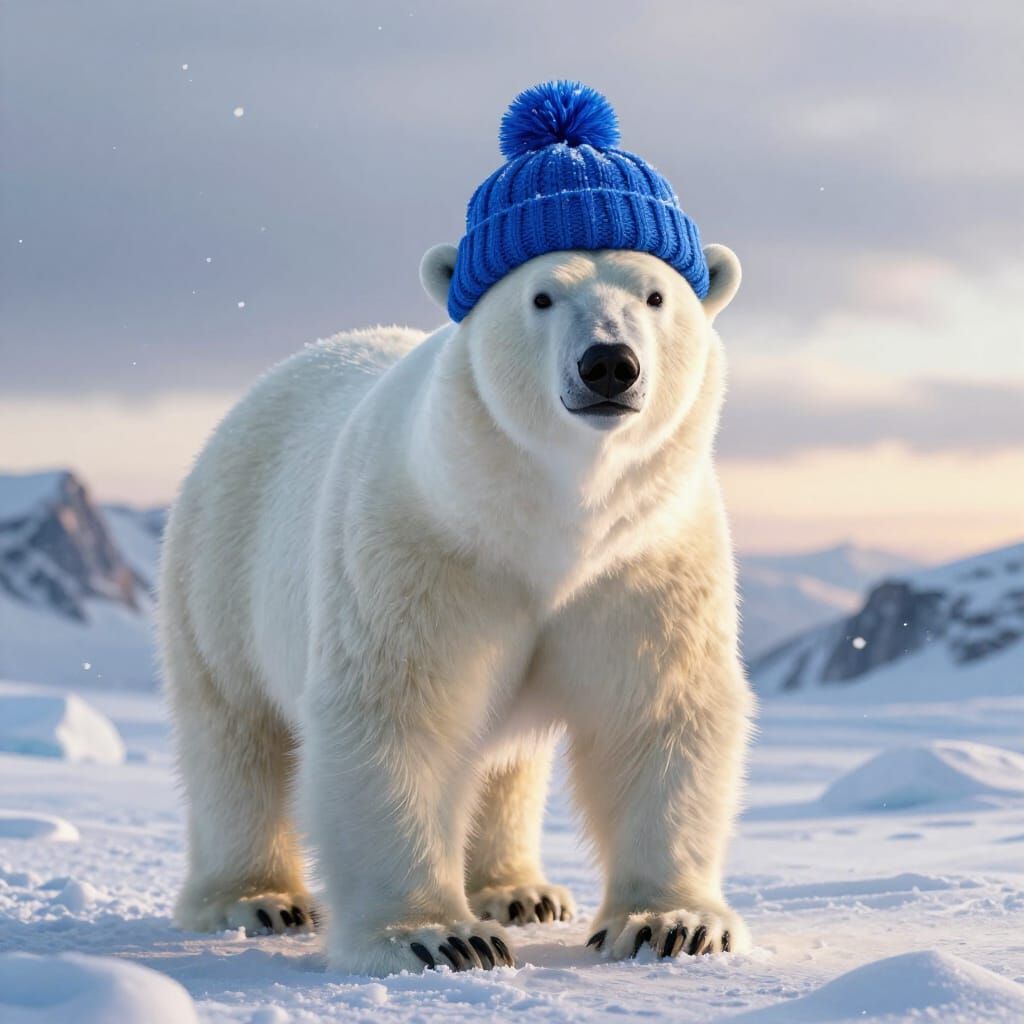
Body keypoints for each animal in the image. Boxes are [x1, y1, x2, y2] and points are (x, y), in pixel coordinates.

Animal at [159, 81, 754, 977]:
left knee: (507, 762)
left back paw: (520, 889)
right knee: (237, 735)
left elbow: (658, 710)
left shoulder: (646, 564)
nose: (608, 364)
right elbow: (397, 715)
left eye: (656, 296)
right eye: (541, 296)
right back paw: (255, 899)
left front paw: (672, 924)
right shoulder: (419, 554)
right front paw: (439, 937)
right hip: (218, 569)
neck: (548, 520)